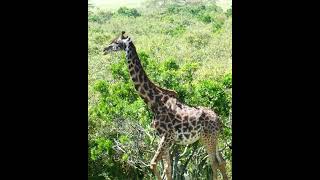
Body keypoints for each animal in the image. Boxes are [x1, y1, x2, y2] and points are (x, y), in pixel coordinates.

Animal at [104, 32, 229, 180]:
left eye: (117, 42)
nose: (104, 49)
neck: (153, 101)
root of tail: (218, 120)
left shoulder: (166, 136)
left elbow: (153, 164)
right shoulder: (165, 139)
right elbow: (168, 169)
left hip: (207, 137)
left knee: (214, 163)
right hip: (213, 138)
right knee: (222, 161)